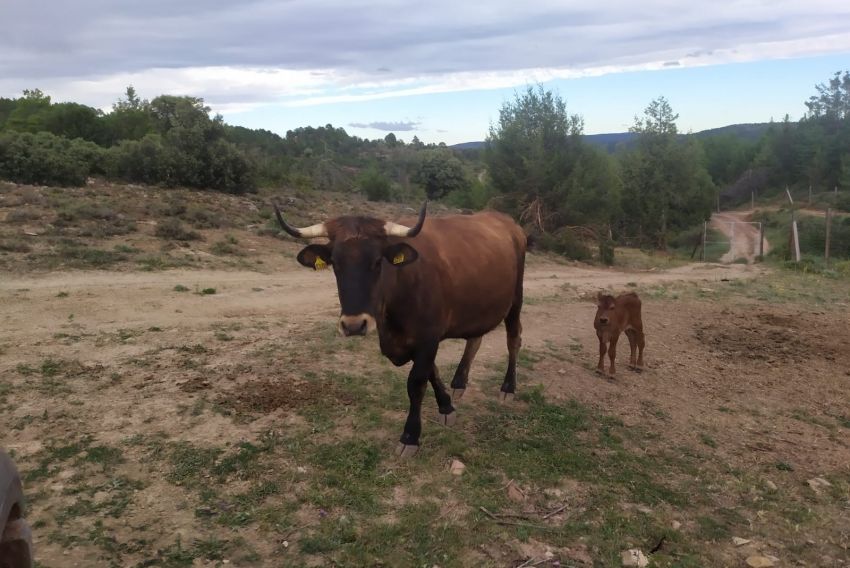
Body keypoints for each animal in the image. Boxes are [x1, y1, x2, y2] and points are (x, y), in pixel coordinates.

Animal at [272, 203, 528, 458]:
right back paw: (459, 383)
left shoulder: (428, 337)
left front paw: (410, 436)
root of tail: (506, 221)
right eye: (335, 263)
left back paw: (508, 387)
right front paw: (446, 406)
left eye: (377, 262)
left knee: (513, 339)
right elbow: (432, 372)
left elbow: (416, 382)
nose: (353, 325)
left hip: (516, 299)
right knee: (475, 339)